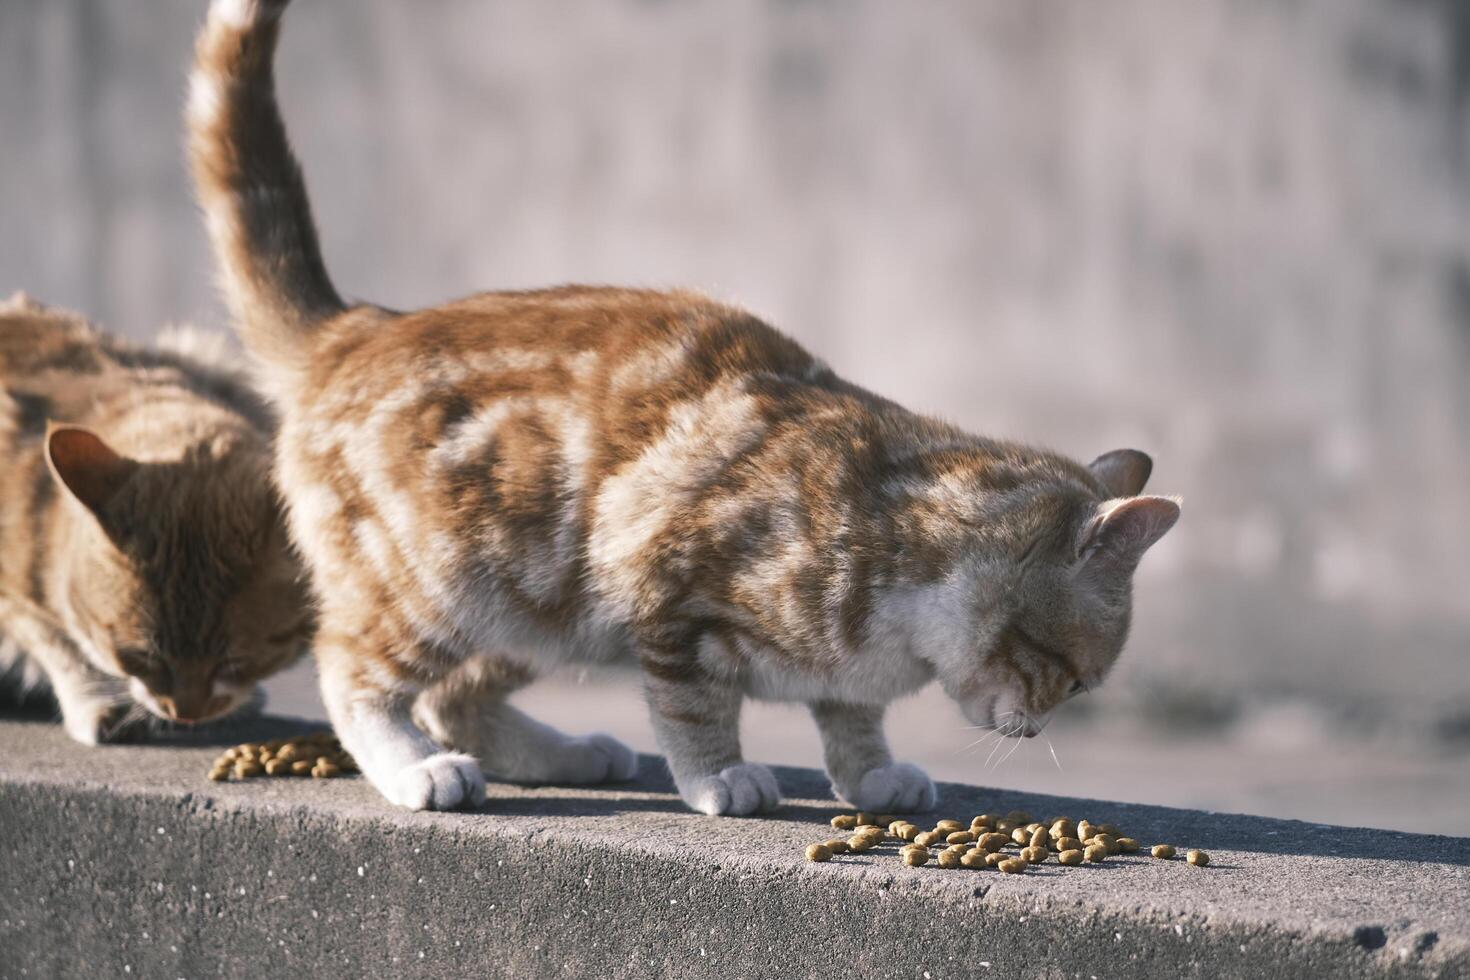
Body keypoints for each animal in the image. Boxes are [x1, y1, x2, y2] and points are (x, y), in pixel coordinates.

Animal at [186, 0, 1181, 811]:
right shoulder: (665, 590)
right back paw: (416, 768)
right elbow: (694, 710)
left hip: (537, 611)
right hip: (445, 580)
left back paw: (567, 754)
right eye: (1074, 677)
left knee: (452, 696)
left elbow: (851, 721)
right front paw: (719, 778)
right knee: (358, 674)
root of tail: (357, 323)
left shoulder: (835, 674)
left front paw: (869, 776)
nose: (1040, 728)